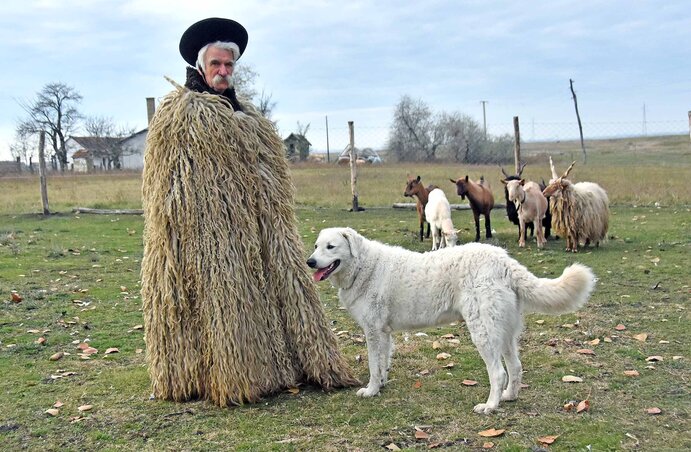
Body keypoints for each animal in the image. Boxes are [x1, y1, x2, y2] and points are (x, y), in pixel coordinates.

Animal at [306, 228, 596, 414]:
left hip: (483, 332)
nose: (310, 261)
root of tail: (504, 262)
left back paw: (490, 406)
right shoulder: (384, 333)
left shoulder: (373, 332)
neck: (364, 266)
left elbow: (373, 365)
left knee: (498, 372)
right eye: (316, 246)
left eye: (331, 247)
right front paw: (381, 385)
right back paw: (508, 397)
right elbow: (383, 362)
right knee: (515, 367)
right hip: (503, 332)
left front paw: (371, 390)